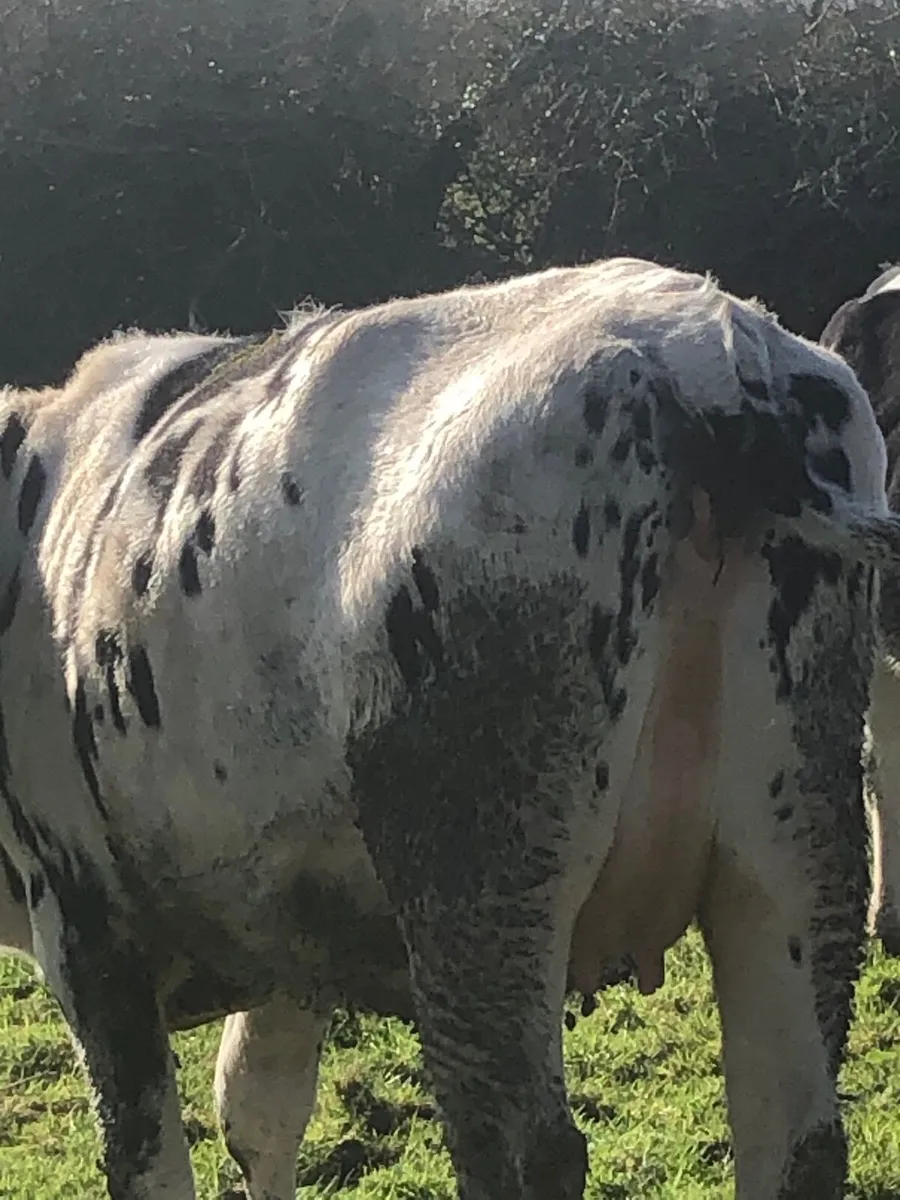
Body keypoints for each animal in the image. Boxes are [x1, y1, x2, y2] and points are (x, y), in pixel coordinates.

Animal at [1, 255, 899, 1200]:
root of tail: (705, 346)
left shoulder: (85, 924)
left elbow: (148, 1157)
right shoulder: (288, 929)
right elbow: (258, 1114)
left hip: (478, 893)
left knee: (522, 1149)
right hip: (789, 853)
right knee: (796, 1135)